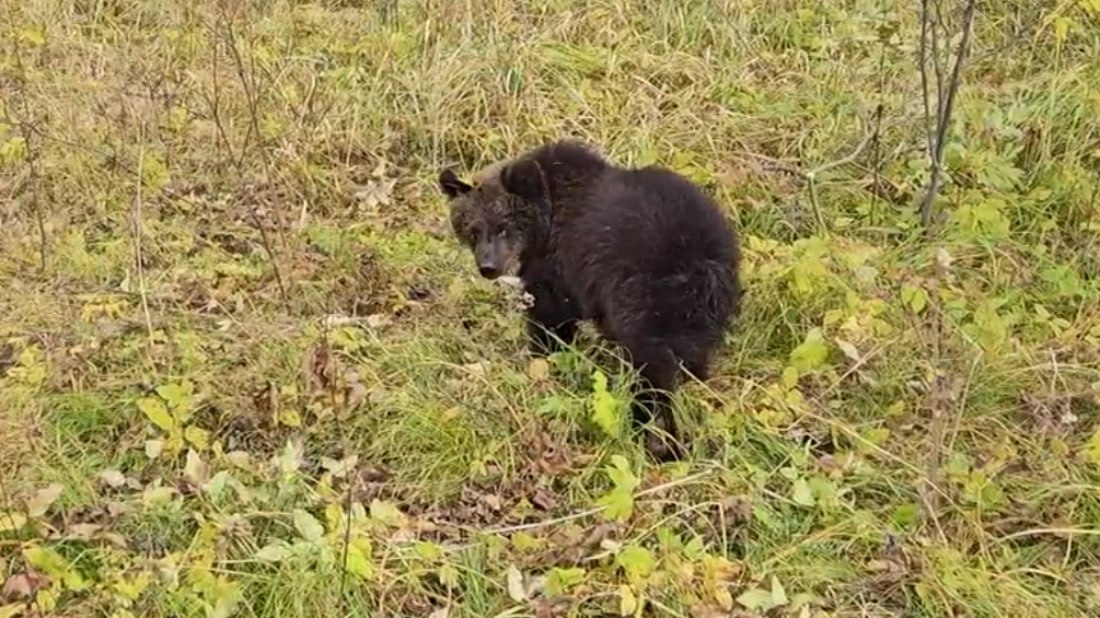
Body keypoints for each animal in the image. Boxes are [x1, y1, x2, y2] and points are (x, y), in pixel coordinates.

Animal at [435, 138, 739, 457]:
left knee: (649, 366)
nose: (488, 267)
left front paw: (543, 358)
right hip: (704, 308)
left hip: (644, 296)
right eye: (473, 230)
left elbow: (551, 317)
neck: (546, 222)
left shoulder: (560, 267)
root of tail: (700, 258)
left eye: (504, 225)